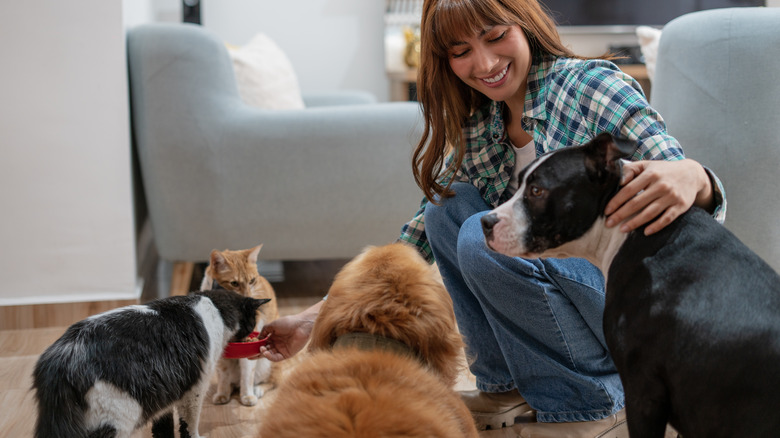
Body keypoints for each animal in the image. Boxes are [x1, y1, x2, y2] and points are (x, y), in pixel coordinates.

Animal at [32, 290, 270, 438]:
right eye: (251, 322)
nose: (252, 331)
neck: (216, 309)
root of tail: (62, 357)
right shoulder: (194, 390)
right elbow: (189, 425)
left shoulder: (165, 393)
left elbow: (163, 428)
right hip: (118, 415)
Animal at [198, 245, 280, 406]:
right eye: (234, 283)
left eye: (252, 281)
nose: (248, 296)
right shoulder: (221, 357)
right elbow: (223, 376)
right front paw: (222, 394)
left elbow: (247, 376)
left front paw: (247, 396)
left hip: (267, 364)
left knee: (272, 381)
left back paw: (257, 389)